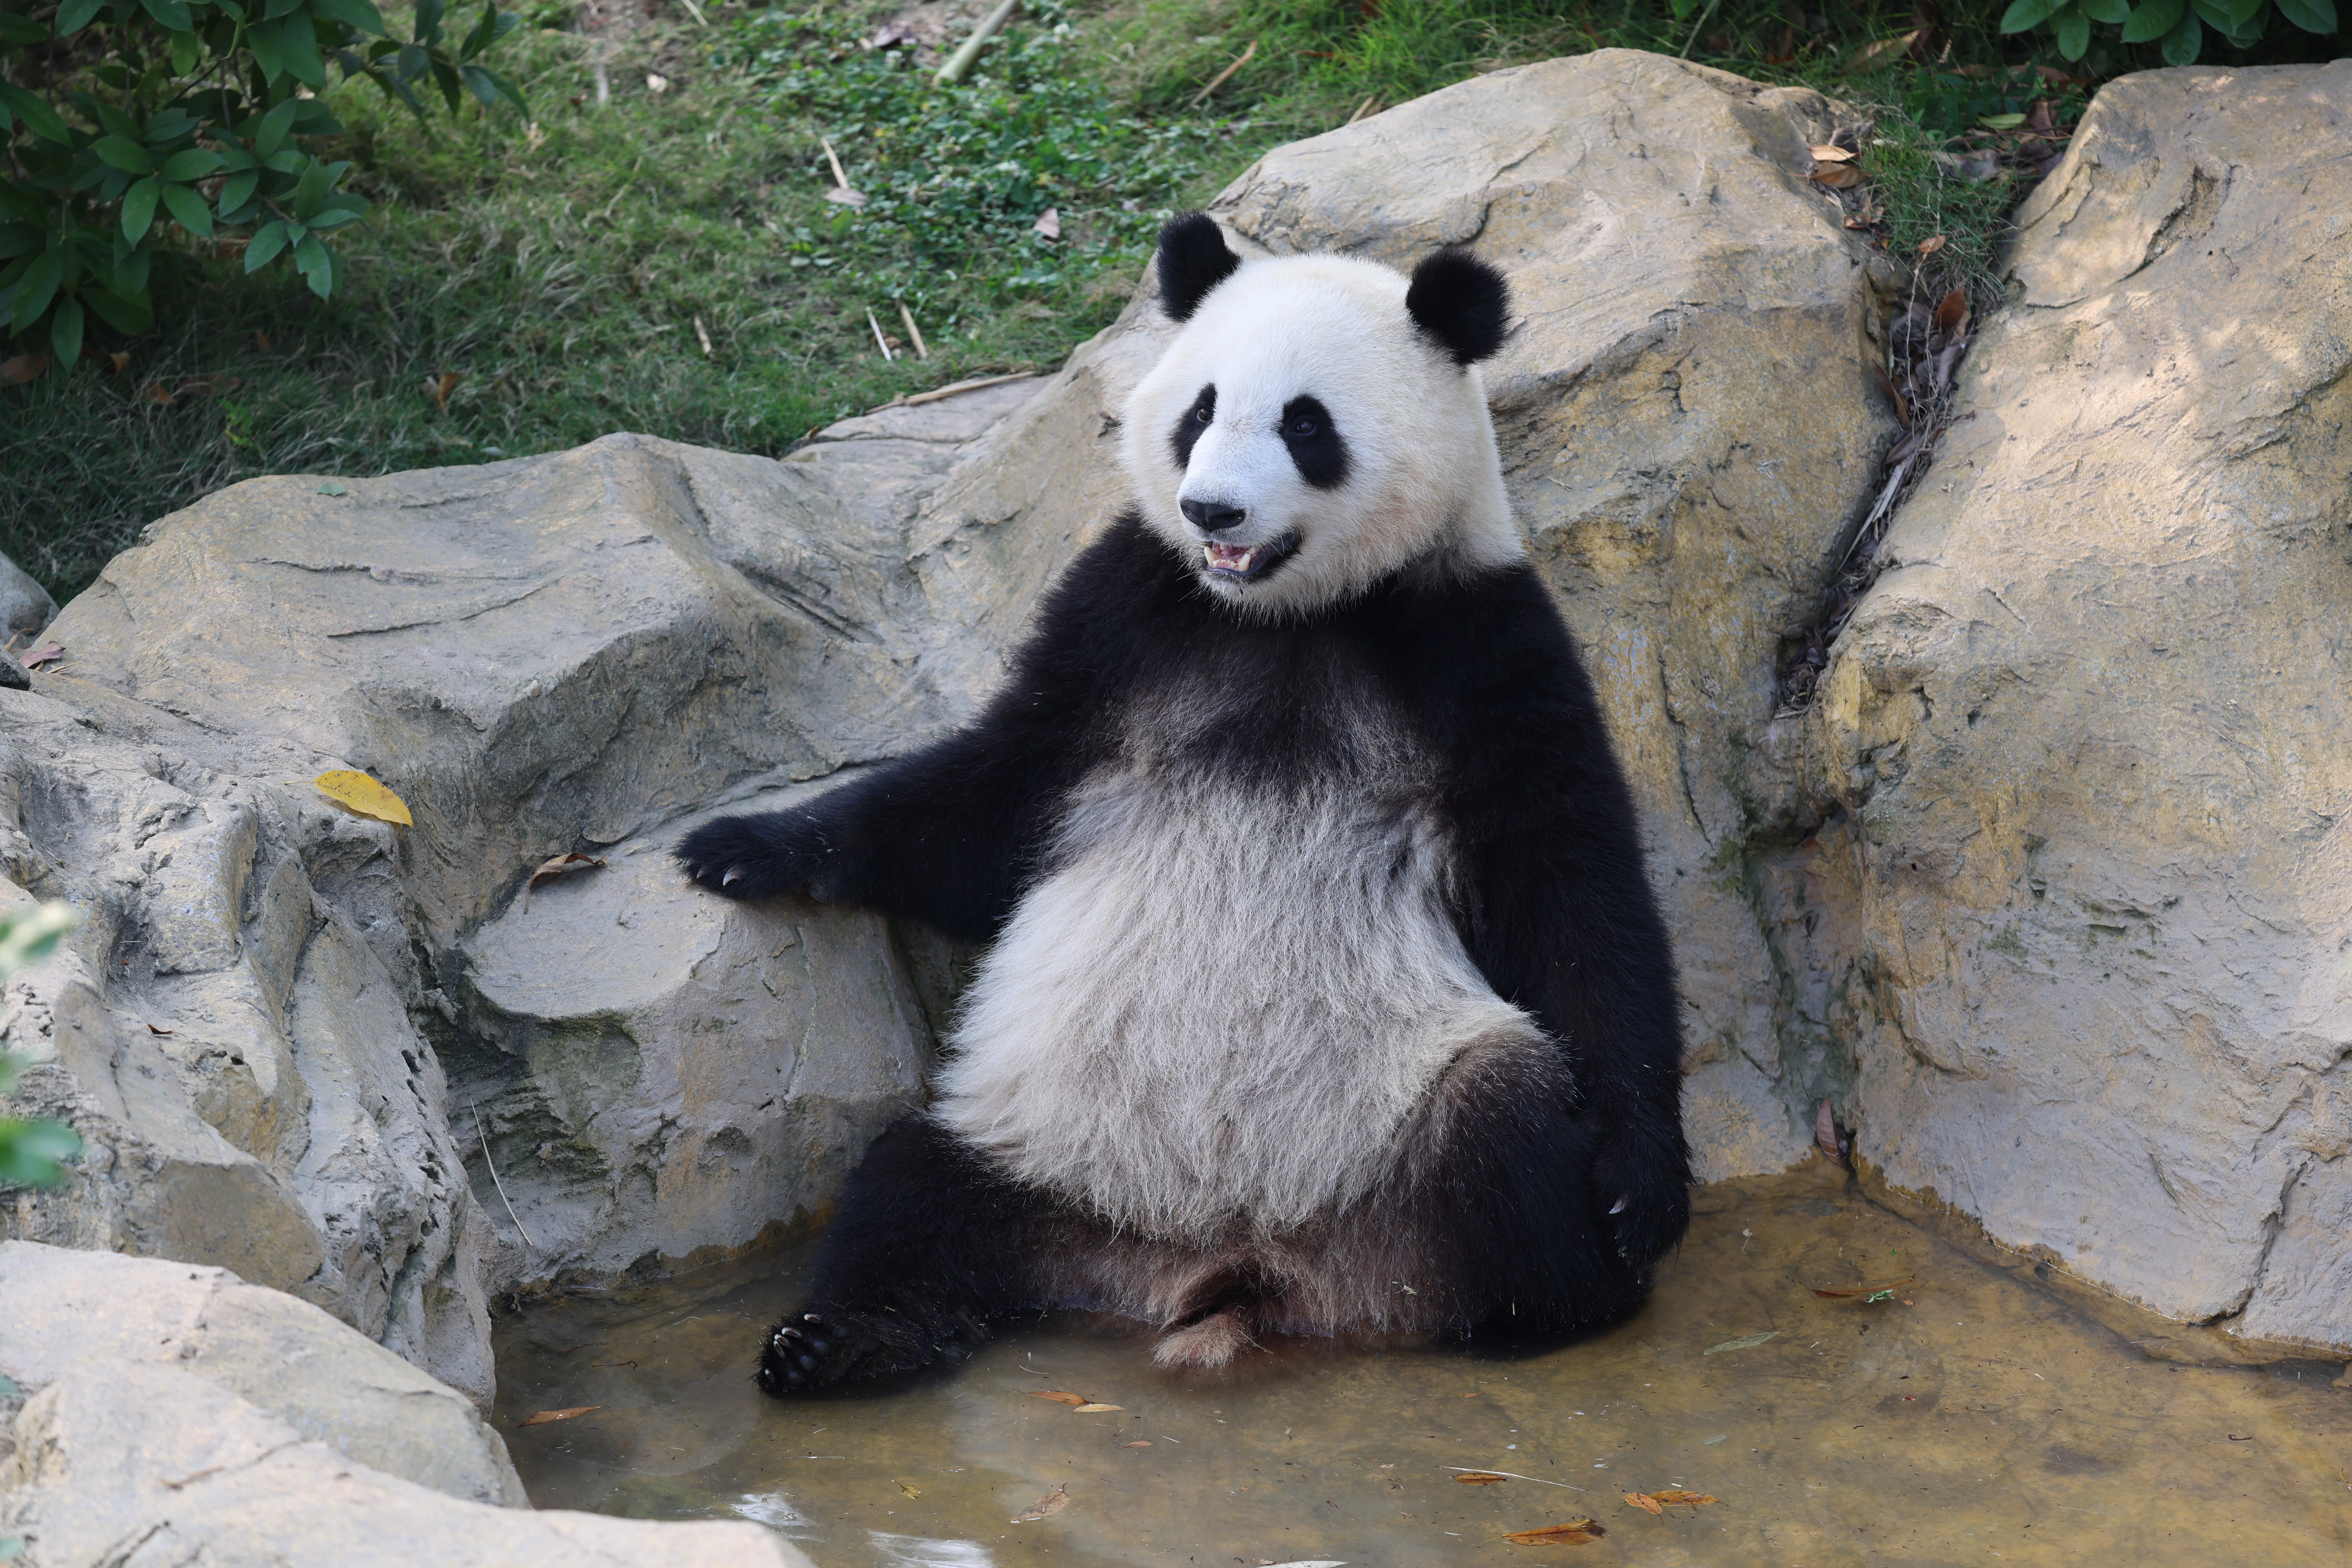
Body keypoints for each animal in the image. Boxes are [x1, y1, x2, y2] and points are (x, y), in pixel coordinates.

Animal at [676, 214, 1690, 1392]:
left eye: (1307, 424)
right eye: (1200, 410)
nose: (1213, 508)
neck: (1281, 616)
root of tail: (1232, 1267)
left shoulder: (1478, 636)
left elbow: (1571, 890)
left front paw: (1638, 1190)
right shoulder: (1125, 617)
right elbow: (984, 804)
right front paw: (742, 846)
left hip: (1398, 1125)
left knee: (1509, 1132)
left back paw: (1553, 1302)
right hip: (1035, 1137)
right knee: (909, 1189)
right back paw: (837, 1340)